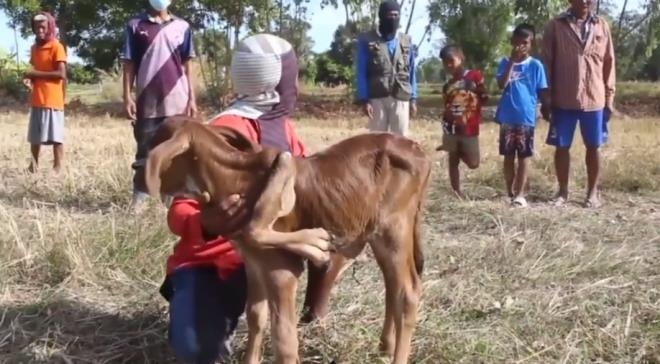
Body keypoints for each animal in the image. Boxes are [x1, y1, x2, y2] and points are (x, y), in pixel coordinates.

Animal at [145, 117, 434, 364]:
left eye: (157, 143)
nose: (138, 169)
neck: (236, 178)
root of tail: (417, 150)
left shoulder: (280, 270)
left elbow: (284, 339)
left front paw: (315, 245)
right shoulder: (254, 264)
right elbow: (256, 316)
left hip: (394, 228)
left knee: (408, 291)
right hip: (380, 236)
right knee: (393, 286)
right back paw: (385, 347)